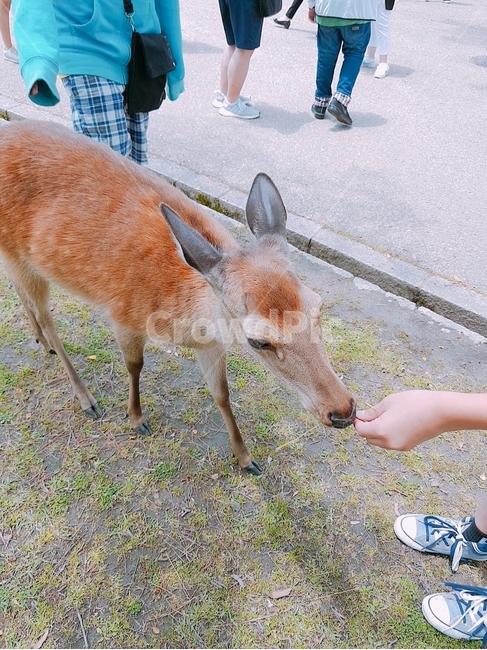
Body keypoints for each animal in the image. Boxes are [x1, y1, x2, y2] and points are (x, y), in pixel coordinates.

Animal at [0, 120, 355, 475]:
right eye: (258, 341)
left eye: (318, 307)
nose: (343, 411)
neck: (186, 323)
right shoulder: (123, 314)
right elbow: (134, 365)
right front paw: (136, 418)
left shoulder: (211, 346)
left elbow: (222, 394)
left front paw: (246, 458)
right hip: (19, 252)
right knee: (47, 318)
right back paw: (85, 396)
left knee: (23, 296)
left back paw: (41, 341)